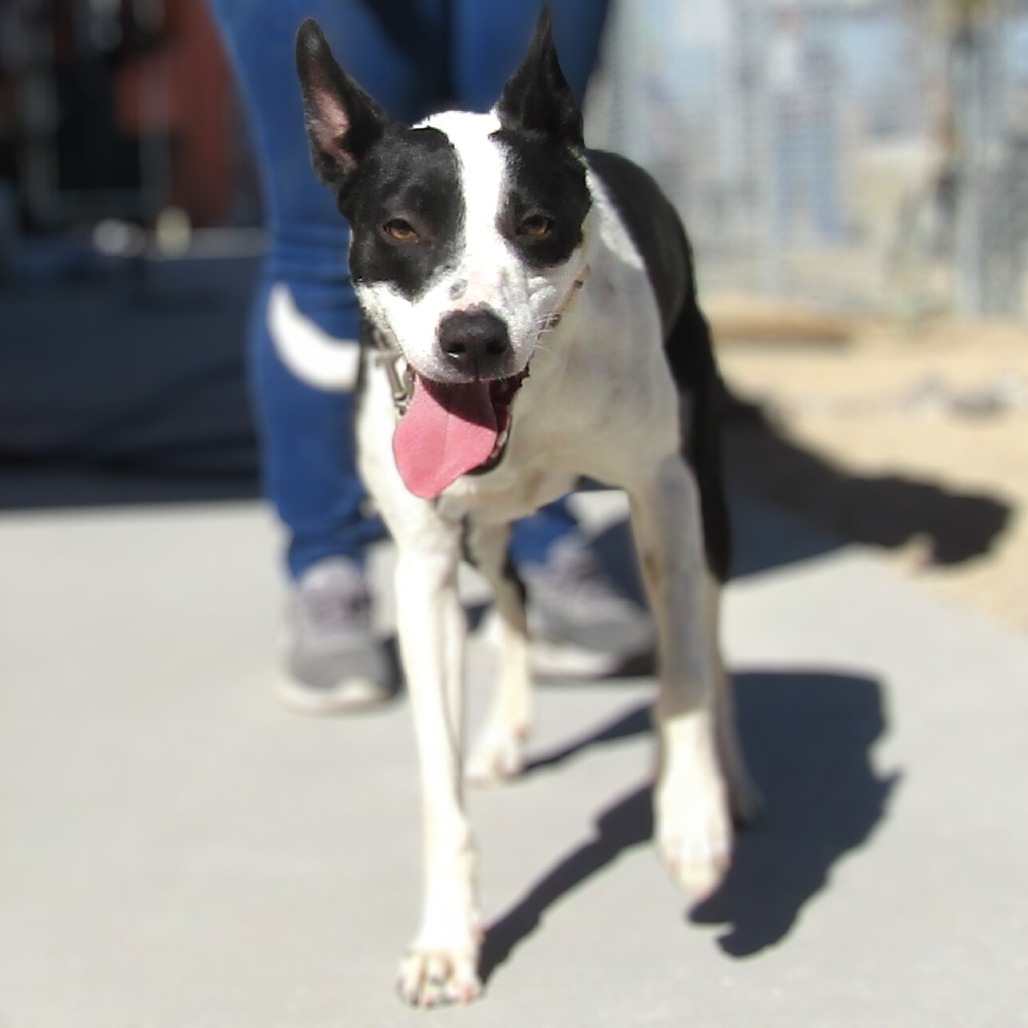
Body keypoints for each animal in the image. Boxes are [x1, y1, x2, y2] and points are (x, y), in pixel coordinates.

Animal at [285, 8, 760, 1003]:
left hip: (705, 491)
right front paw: (446, 939)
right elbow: (440, 781)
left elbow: (685, 674)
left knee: (708, 629)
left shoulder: (664, 496)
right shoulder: (426, 567)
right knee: (511, 599)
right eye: (400, 227)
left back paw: (727, 782)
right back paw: (505, 735)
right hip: (486, 532)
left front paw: (691, 817)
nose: (472, 339)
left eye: (536, 224)